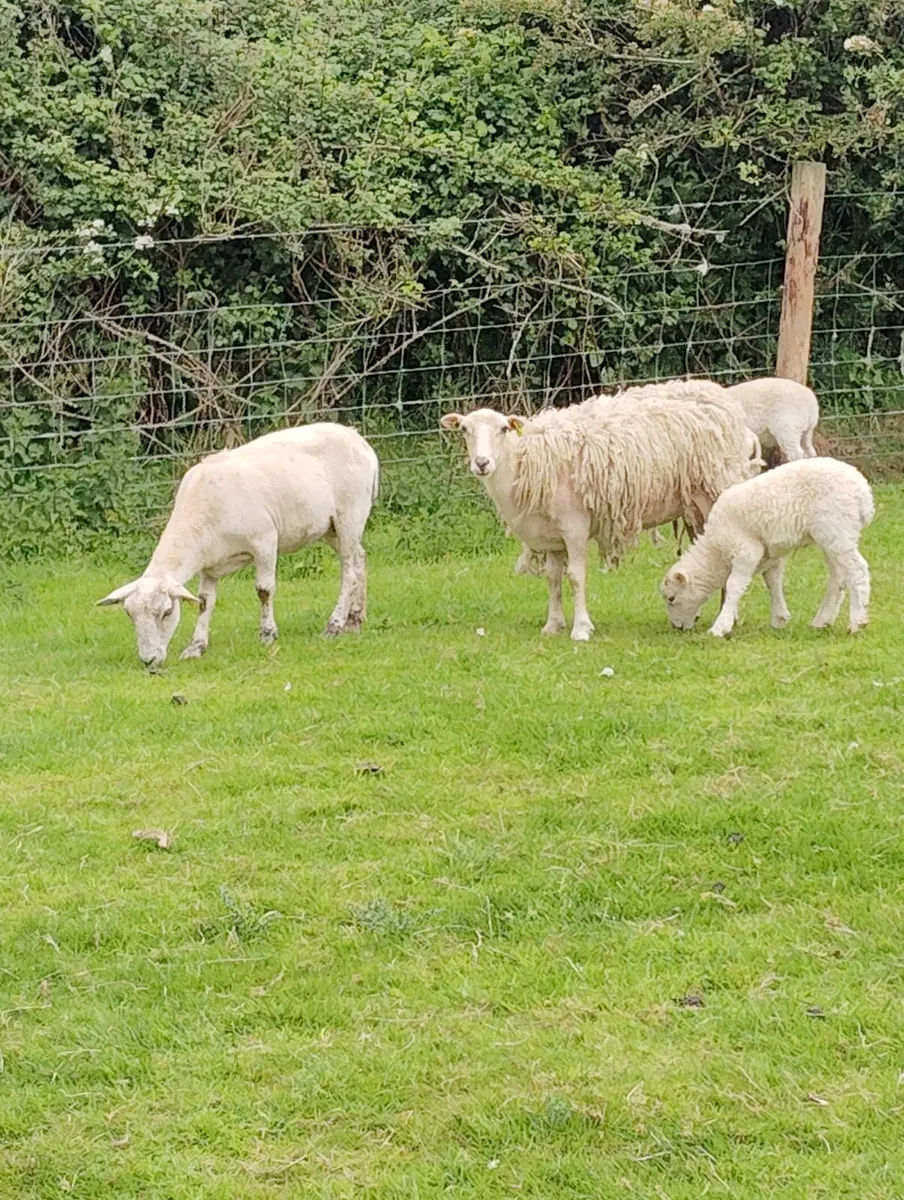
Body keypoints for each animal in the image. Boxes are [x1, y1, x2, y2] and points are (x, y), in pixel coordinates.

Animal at [97, 423, 379, 667]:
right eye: (129, 615)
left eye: (167, 612)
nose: (149, 661)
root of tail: (359, 440)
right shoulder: (209, 564)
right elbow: (204, 602)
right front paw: (196, 646)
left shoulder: (265, 540)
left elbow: (264, 590)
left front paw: (267, 634)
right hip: (331, 527)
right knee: (360, 559)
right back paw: (355, 621)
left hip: (349, 515)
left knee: (349, 572)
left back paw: (335, 624)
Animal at [440, 386, 754, 641]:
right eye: (464, 430)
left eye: (504, 429)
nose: (482, 463)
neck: (526, 461)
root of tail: (727, 402)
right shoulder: (551, 535)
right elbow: (553, 578)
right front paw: (552, 624)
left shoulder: (574, 527)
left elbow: (576, 577)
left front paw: (581, 629)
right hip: (695, 508)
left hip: (717, 489)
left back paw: (727, 616)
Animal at [661, 457, 873, 638]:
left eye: (671, 598)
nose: (676, 627)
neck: (716, 549)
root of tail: (864, 493)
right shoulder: (771, 554)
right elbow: (773, 581)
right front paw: (779, 618)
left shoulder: (746, 551)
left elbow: (733, 586)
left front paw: (720, 627)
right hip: (832, 537)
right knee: (838, 577)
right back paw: (822, 621)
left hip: (838, 530)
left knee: (858, 570)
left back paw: (857, 622)